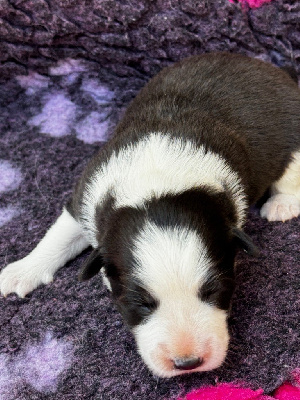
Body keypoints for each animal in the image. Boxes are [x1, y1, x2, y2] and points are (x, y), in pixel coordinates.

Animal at [0, 53, 300, 378]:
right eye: (141, 303)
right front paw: (22, 270)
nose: (187, 364)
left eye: (214, 292)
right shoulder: (86, 195)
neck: (157, 182)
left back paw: (281, 203)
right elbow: (58, 235)